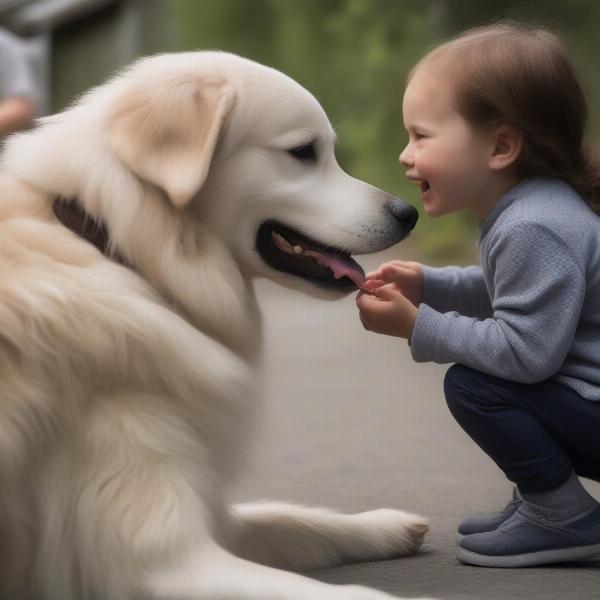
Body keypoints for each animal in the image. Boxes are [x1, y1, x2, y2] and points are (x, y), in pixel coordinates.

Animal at [1, 51, 432, 600]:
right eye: (302, 151)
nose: (409, 212)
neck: (117, 247)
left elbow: (291, 518)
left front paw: (380, 524)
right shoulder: (156, 561)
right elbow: (341, 592)